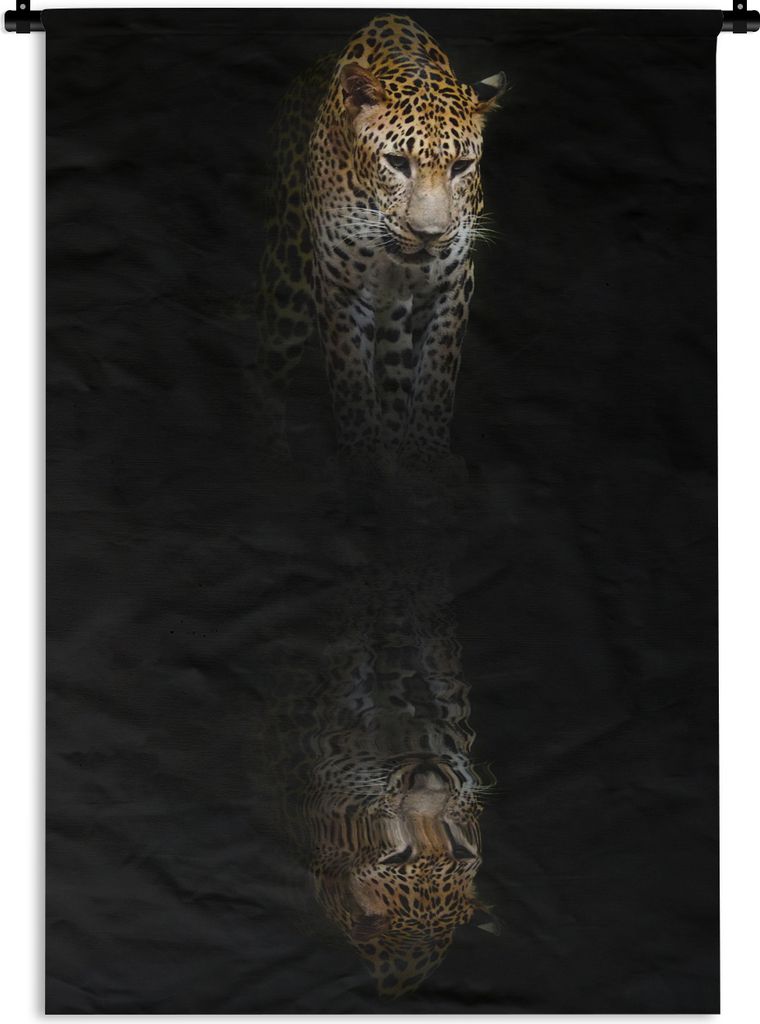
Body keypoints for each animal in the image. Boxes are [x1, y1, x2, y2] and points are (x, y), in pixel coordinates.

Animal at [255, 14, 506, 471]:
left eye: (461, 166)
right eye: (397, 163)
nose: (429, 234)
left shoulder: (453, 283)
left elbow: (437, 373)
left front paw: (425, 453)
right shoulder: (337, 284)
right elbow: (350, 374)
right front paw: (362, 453)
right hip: (287, 287)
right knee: (268, 366)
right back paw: (270, 455)